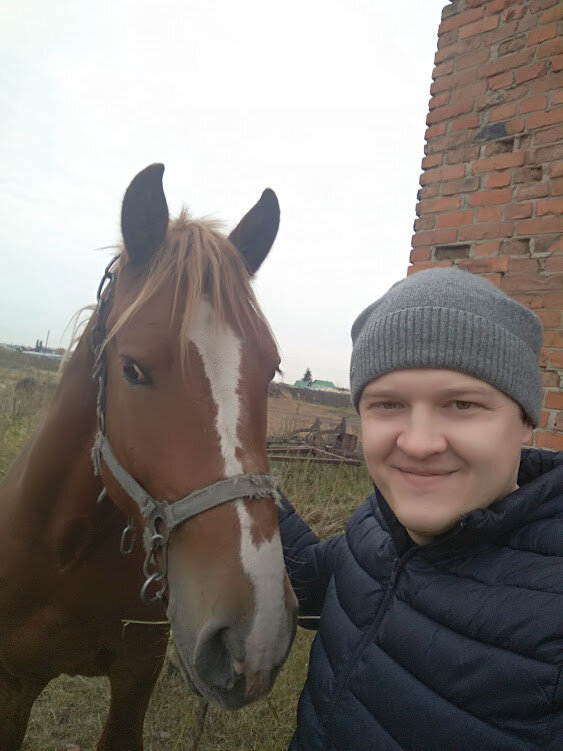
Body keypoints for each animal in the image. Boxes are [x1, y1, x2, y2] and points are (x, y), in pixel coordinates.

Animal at [0, 164, 298, 750]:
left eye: (271, 369)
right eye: (133, 369)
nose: (256, 634)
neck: (68, 551)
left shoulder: (135, 679)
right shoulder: (12, 685)